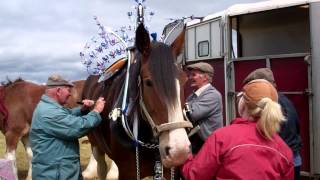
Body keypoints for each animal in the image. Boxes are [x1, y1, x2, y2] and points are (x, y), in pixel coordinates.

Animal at [82, 23, 192, 179]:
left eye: (184, 80)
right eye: (148, 82)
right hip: (95, 143)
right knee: (101, 166)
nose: (179, 150)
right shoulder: (128, 172)